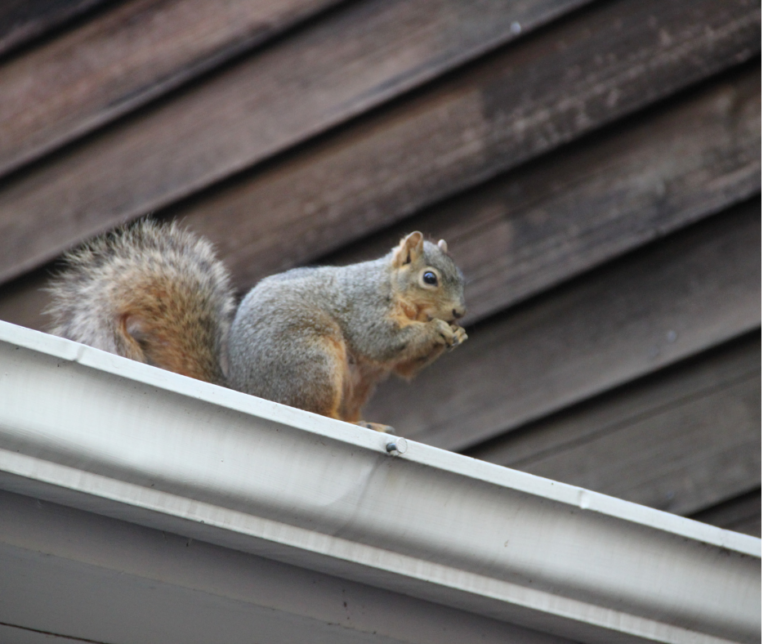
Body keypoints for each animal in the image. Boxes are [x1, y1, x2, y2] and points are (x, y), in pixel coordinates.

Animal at [47, 219, 468, 432]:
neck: (391, 288)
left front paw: (456, 336)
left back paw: (369, 425)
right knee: (316, 410)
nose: (459, 313)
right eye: (430, 278)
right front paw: (436, 330)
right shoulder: (364, 307)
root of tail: (248, 390)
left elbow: (404, 366)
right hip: (312, 359)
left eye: (461, 276)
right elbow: (382, 342)